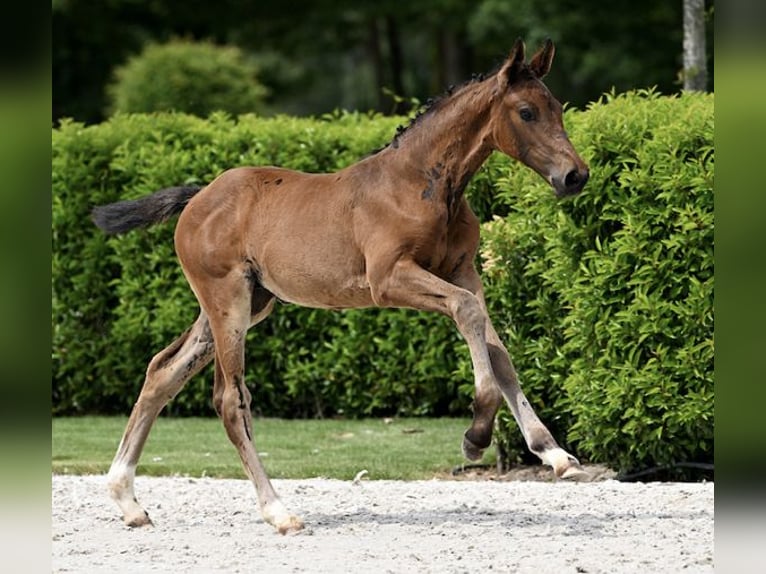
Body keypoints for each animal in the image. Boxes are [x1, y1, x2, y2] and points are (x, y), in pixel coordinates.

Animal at [93, 39, 592, 536]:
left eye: (557, 108)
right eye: (527, 112)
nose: (575, 175)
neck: (422, 185)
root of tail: (197, 197)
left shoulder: (462, 271)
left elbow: (498, 352)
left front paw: (554, 453)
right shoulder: (388, 278)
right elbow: (467, 312)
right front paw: (475, 436)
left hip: (247, 304)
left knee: (162, 371)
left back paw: (128, 501)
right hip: (227, 302)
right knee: (229, 398)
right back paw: (278, 511)